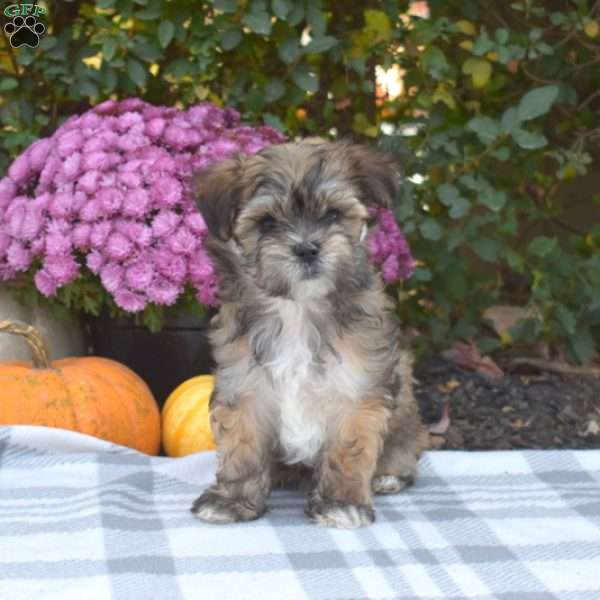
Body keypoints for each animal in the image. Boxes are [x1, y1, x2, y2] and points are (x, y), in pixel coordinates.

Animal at [191, 138, 426, 528]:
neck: (298, 310)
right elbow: (242, 445)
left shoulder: (356, 389)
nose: (306, 248)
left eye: (332, 215)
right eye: (267, 222)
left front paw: (341, 503)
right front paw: (231, 500)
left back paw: (388, 475)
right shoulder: (244, 384)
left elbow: (349, 449)